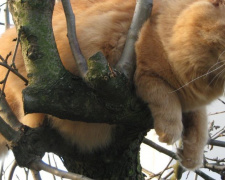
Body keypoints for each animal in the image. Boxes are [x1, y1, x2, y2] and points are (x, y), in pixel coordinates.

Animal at [0, 0, 224, 170]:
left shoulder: (192, 97)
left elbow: (199, 121)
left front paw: (192, 156)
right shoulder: (146, 73)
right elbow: (166, 98)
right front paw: (171, 131)